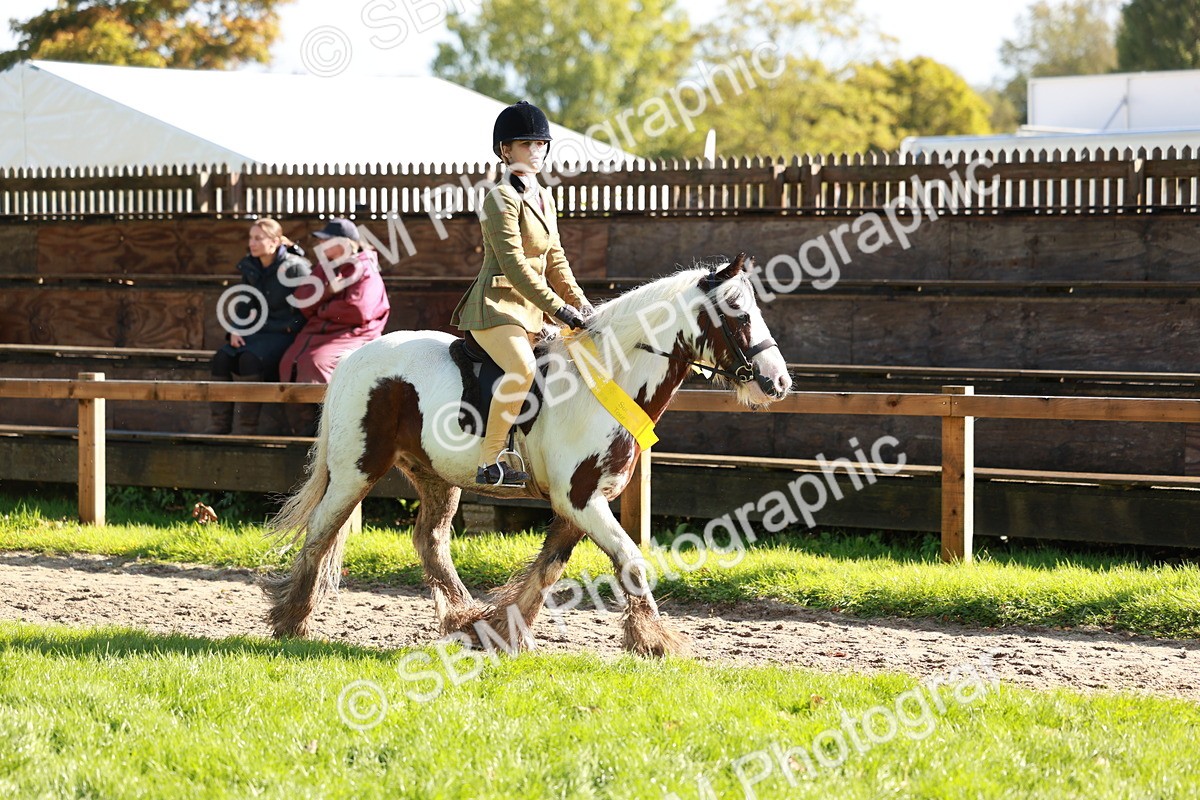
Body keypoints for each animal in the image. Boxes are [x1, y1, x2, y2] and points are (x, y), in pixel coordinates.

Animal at [264, 253, 792, 657]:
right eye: (739, 313)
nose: (780, 382)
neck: (611, 377)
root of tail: (355, 357)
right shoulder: (580, 499)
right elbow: (630, 560)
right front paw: (655, 641)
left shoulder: (581, 502)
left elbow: (548, 568)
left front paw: (502, 631)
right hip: (357, 470)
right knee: (321, 531)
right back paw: (292, 621)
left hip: (435, 475)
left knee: (430, 541)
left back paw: (464, 617)